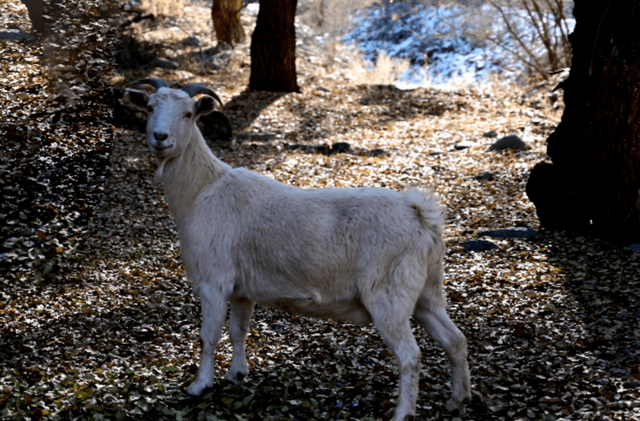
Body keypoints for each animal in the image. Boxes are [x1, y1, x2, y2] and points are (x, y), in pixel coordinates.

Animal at [125, 79, 472, 420]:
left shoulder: (213, 282)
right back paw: (457, 401)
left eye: (188, 114)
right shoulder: (241, 290)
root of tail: (420, 216)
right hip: (427, 293)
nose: (160, 137)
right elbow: (238, 331)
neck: (201, 192)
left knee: (410, 355)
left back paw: (403, 414)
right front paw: (237, 374)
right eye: (151, 107)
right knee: (455, 340)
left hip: (389, 296)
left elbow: (208, 336)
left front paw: (199, 386)